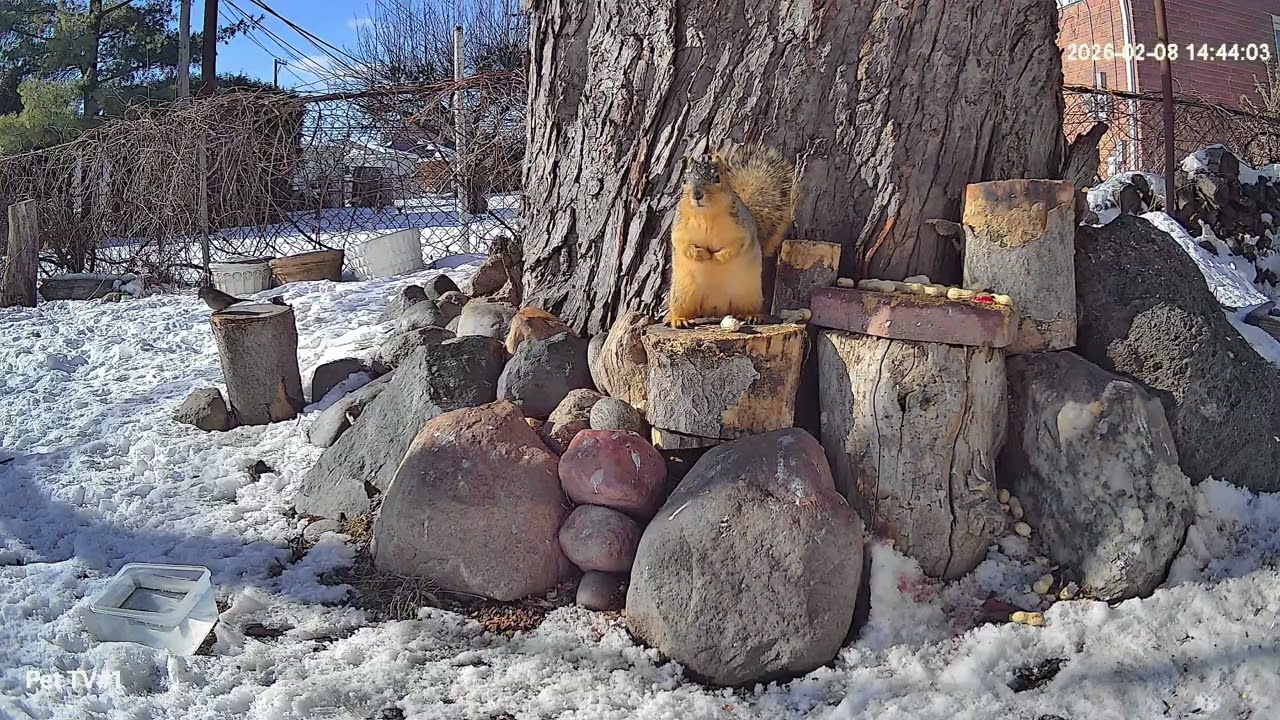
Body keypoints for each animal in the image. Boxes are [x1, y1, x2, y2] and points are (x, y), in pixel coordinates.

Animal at [665, 144, 797, 328]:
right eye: (684, 180)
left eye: (716, 178)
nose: (697, 194)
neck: (706, 215)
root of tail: (714, 309)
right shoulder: (679, 228)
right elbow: (680, 243)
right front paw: (700, 254)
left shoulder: (742, 230)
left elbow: (737, 245)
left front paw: (718, 257)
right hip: (682, 294)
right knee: (681, 309)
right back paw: (678, 319)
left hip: (748, 294)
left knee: (744, 309)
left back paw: (753, 316)